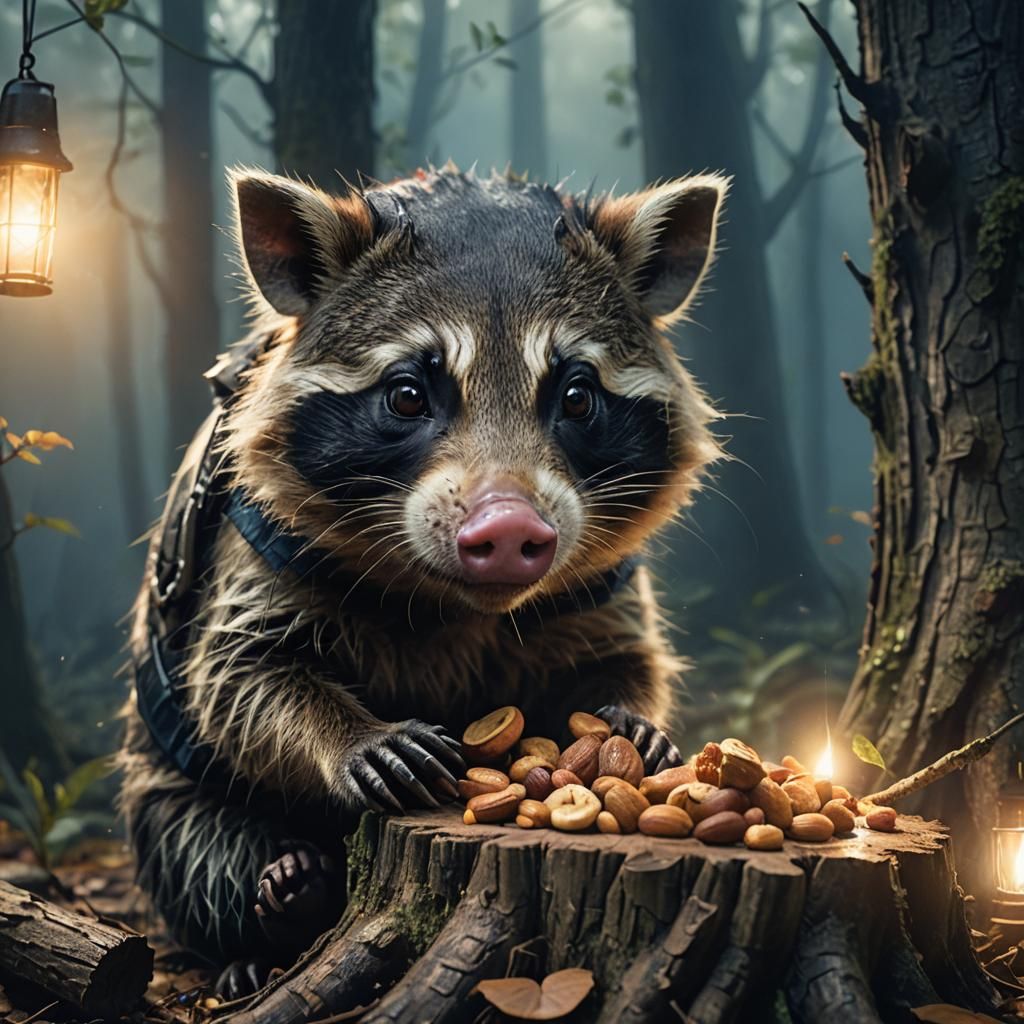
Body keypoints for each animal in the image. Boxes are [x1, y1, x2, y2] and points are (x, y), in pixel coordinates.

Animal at [119, 165, 726, 994]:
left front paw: (630, 718)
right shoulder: (252, 555)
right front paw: (353, 735)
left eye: (575, 395)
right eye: (408, 393)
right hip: (159, 787)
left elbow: (625, 661)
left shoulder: (602, 586)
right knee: (197, 848)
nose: (506, 529)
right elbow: (241, 677)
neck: (454, 600)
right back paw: (271, 912)